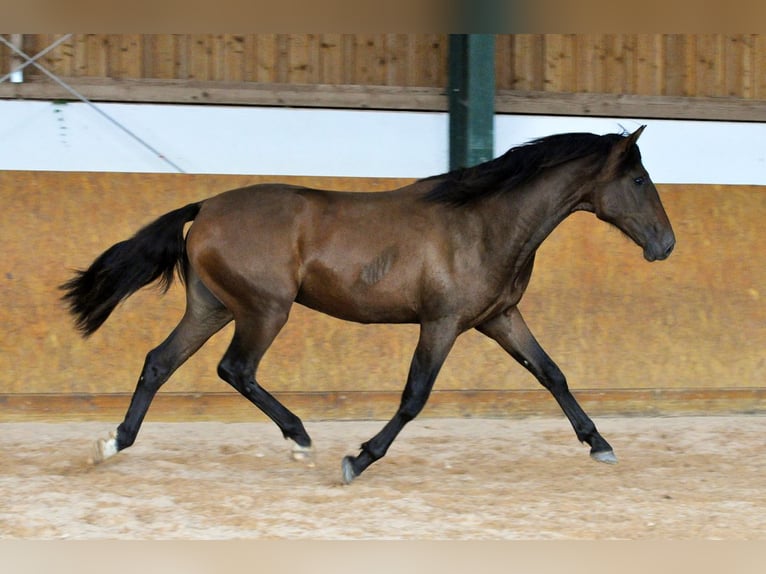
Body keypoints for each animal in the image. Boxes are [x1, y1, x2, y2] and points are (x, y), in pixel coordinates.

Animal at [66, 127, 680, 486]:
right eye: (638, 178)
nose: (666, 245)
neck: (484, 224)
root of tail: (207, 207)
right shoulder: (442, 323)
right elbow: (414, 397)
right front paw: (357, 459)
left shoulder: (499, 319)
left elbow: (552, 373)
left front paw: (600, 445)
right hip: (264, 311)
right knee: (235, 369)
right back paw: (301, 439)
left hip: (212, 308)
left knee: (159, 362)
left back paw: (112, 444)